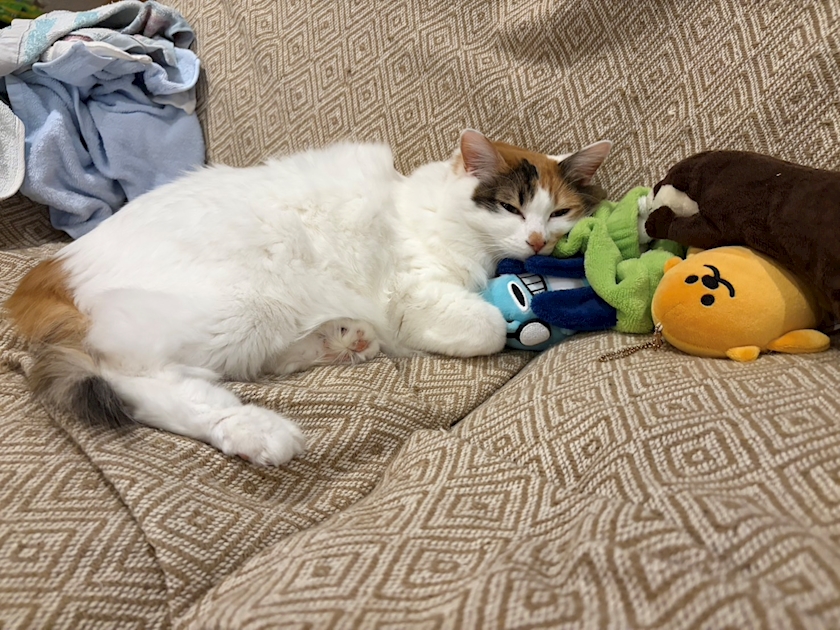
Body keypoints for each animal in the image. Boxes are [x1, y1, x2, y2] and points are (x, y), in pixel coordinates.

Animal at [6, 130, 611, 466]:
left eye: (559, 212)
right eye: (511, 208)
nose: (537, 242)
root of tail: (52, 269)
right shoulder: (410, 292)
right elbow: (484, 325)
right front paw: (504, 321)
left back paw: (339, 342)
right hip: (237, 306)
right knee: (137, 382)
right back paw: (257, 431)